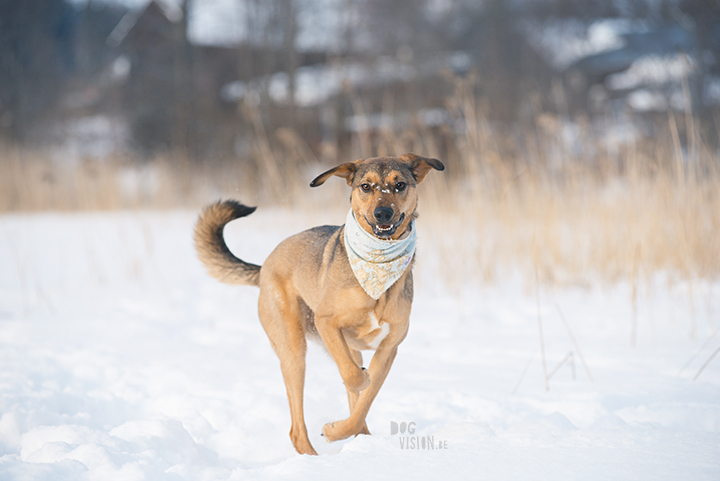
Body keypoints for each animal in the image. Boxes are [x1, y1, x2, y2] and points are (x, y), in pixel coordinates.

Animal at [194, 153, 442, 454]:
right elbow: (357, 379)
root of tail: (265, 266)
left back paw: (359, 437)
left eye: (400, 185)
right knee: (297, 427)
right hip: (293, 351)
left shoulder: (389, 348)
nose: (383, 213)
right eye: (366, 186)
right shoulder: (328, 323)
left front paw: (340, 430)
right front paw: (338, 424)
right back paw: (312, 455)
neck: (377, 266)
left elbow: (364, 400)